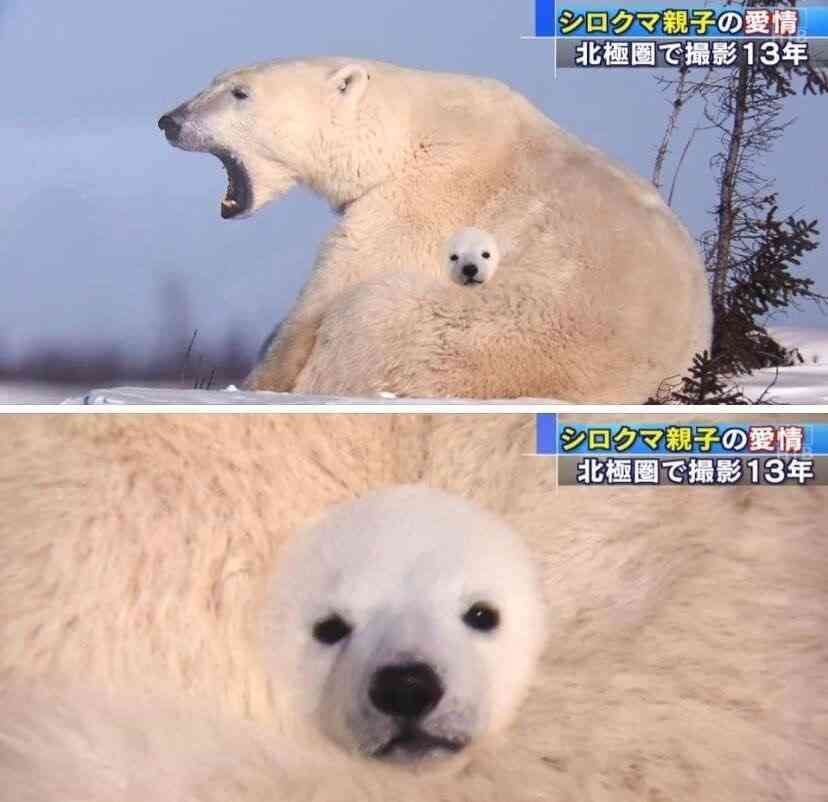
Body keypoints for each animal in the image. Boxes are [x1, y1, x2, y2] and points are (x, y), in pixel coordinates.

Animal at [158, 57, 712, 402]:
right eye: (215, 80)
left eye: (240, 93)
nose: (170, 120)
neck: (406, 132)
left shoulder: (423, 198)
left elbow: (333, 289)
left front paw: (258, 381)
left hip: (484, 339)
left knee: (370, 312)